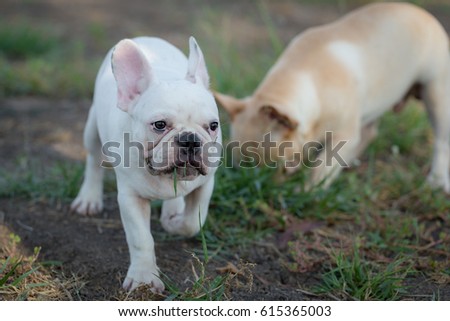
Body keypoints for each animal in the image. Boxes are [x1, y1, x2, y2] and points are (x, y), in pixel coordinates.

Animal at [214, 1, 450, 190]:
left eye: (278, 167)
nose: (263, 185)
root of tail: (423, 14)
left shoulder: (343, 135)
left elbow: (322, 166)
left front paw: (309, 191)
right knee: (368, 132)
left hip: (436, 91)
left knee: (441, 140)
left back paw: (437, 181)